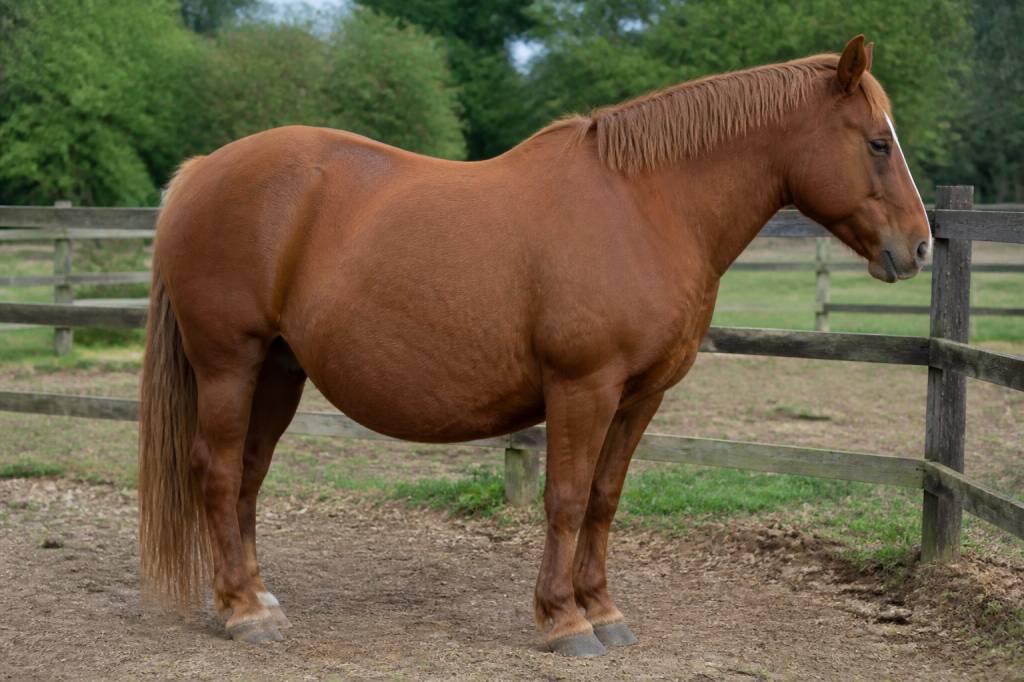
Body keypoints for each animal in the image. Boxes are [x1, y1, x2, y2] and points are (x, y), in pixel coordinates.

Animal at [138, 35, 931, 657]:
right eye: (877, 142)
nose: (918, 247)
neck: (646, 207)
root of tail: (203, 169)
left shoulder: (640, 397)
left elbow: (605, 500)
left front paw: (604, 610)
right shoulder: (584, 387)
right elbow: (567, 499)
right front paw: (563, 621)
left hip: (278, 369)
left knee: (247, 476)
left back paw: (255, 597)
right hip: (229, 364)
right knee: (216, 472)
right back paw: (242, 613)